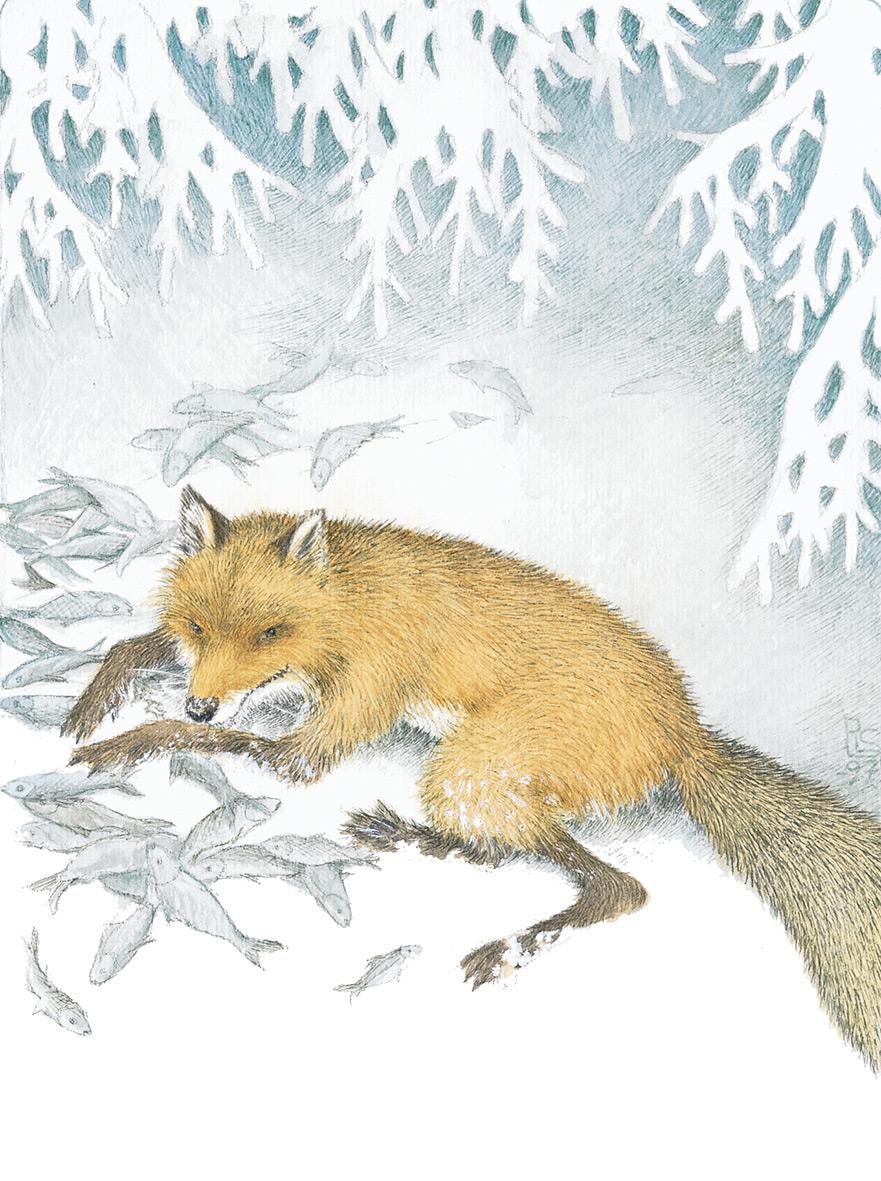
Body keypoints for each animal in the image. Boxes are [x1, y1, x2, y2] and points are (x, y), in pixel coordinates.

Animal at [65, 485, 881, 1068]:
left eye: (270, 632)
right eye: (199, 626)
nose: (201, 701)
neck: (354, 605)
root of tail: (686, 732)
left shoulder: (323, 732)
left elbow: (204, 737)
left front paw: (120, 744)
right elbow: (134, 646)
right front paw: (92, 700)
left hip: (467, 765)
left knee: (617, 886)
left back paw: (506, 946)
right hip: (469, 778)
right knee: (501, 850)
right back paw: (401, 837)